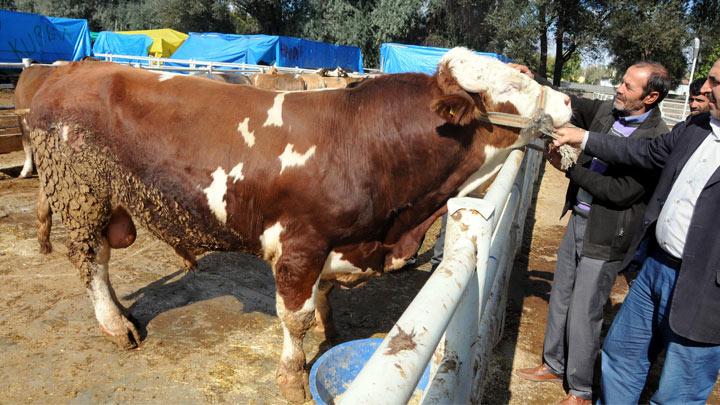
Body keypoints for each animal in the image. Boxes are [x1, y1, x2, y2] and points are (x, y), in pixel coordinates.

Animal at [25, 48, 572, 400]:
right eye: (510, 87)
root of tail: (68, 72)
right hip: (82, 195)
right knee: (91, 262)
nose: (568, 101)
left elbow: (324, 298)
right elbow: (296, 317)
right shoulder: (300, 245)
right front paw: (292, 377)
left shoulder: (338, 244)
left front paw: (332, 331)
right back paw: (115, 325)